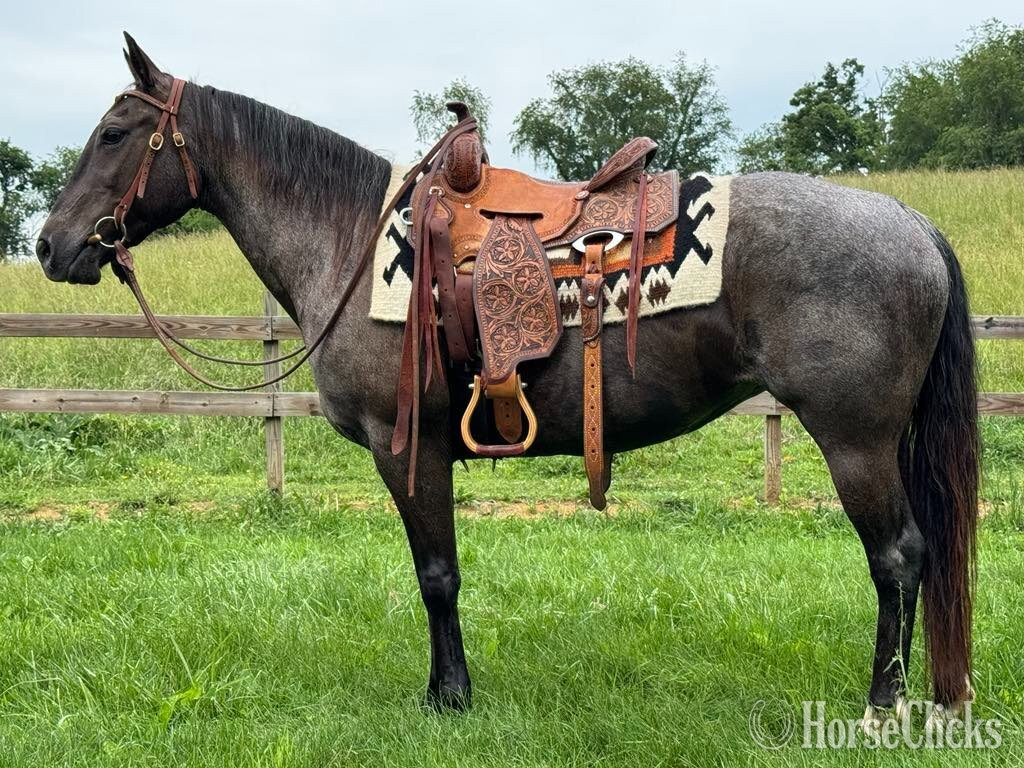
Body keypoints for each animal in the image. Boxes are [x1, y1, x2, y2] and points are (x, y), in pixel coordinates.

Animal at [36, 35, 978, 725]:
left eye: (113, 134)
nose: (51, 245)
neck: (348, 241)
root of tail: (913, 222)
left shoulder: (405, 448)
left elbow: (436, 574)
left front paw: (447, 698)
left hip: (855, 439)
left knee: (898, 557)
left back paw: (884, 706)